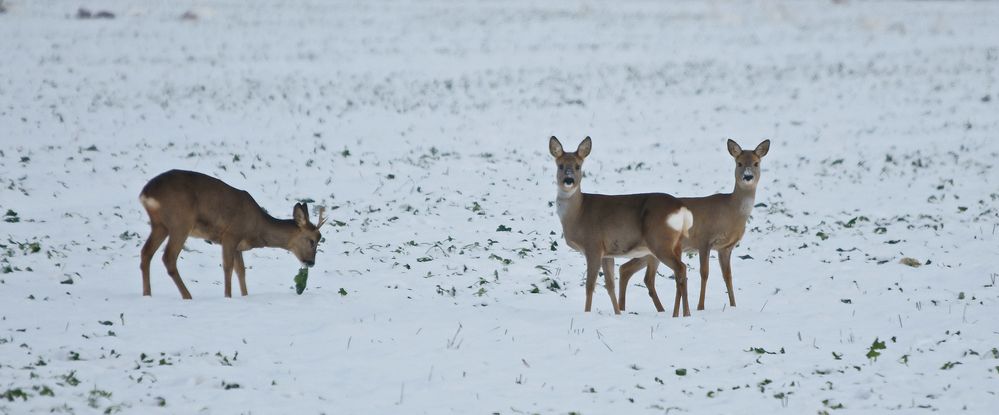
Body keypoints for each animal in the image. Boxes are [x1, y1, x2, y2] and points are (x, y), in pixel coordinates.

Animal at [138, 169, 328, 300]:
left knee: (146, 252)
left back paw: (147, 294)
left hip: (160, 225)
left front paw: (245, 296)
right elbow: (228, 267)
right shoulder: (231, 234)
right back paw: (187, 296)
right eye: (312, 240)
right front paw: (228, 297)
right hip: (181, 222)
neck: (257, 227)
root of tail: (146, 193)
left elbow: (241, 271)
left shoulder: (238, 245)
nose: (311, 263)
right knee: (168, 257)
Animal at [548, 136, 696, 316]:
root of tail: (681, 208)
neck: (578, 214)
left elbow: (590, 285)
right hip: (674, 243)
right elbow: (610, 285)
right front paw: (618, 313)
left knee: (680, 268)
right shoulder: (606, 252)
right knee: (681, 271)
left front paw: (587, 313)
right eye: (560, 165)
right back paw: (684, 313)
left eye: (578, 166)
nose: (568, 180)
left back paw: (680, 314)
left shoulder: (593, 246)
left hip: (660, 242)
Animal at [616, 140, 772, 312]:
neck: (731, 212)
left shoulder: (726, 247)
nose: (748, 176)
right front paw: (700, 306)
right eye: (739, 163)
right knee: (644, 276)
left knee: (627, 270)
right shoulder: (704, 239)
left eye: (756, 163)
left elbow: (728, 276)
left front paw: (733, 306)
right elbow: (704, 273)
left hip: (648, 251)